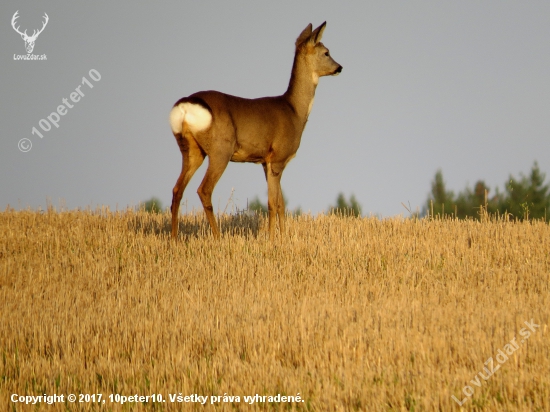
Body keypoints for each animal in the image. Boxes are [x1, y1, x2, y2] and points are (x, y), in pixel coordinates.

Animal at [169, 22, 340, 240]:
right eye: (326, 52)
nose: (339, 67)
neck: (294, 111)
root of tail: (185, 105)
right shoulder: (277, 158)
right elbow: (272, 203)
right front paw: (273, 239)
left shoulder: (267, 162)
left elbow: (281, 203)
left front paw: (283, 238)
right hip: (220, 149)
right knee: (204, 190)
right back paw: (218, 238)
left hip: (191, 149)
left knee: (177, 189)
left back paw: (174, 239)